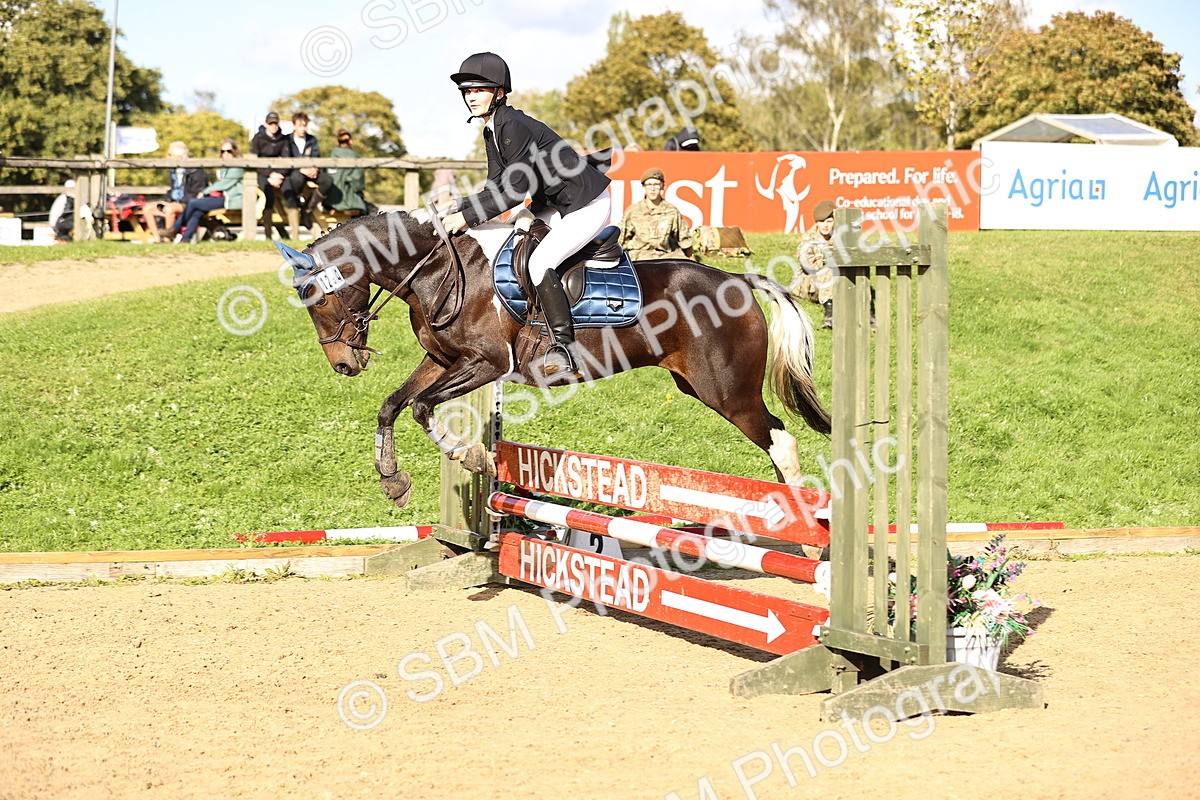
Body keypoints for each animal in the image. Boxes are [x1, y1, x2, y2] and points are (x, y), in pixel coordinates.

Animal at [278, 210, 830, 509]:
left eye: (318, 299)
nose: (344, 364)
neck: (439, 271)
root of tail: (738, 280)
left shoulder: (487, 365)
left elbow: (420, 408)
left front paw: (473, 457)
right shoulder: (441, 361)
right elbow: (393, 406)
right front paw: (393, 481)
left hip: (728, 392)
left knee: (781, 441)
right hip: (699, 386)